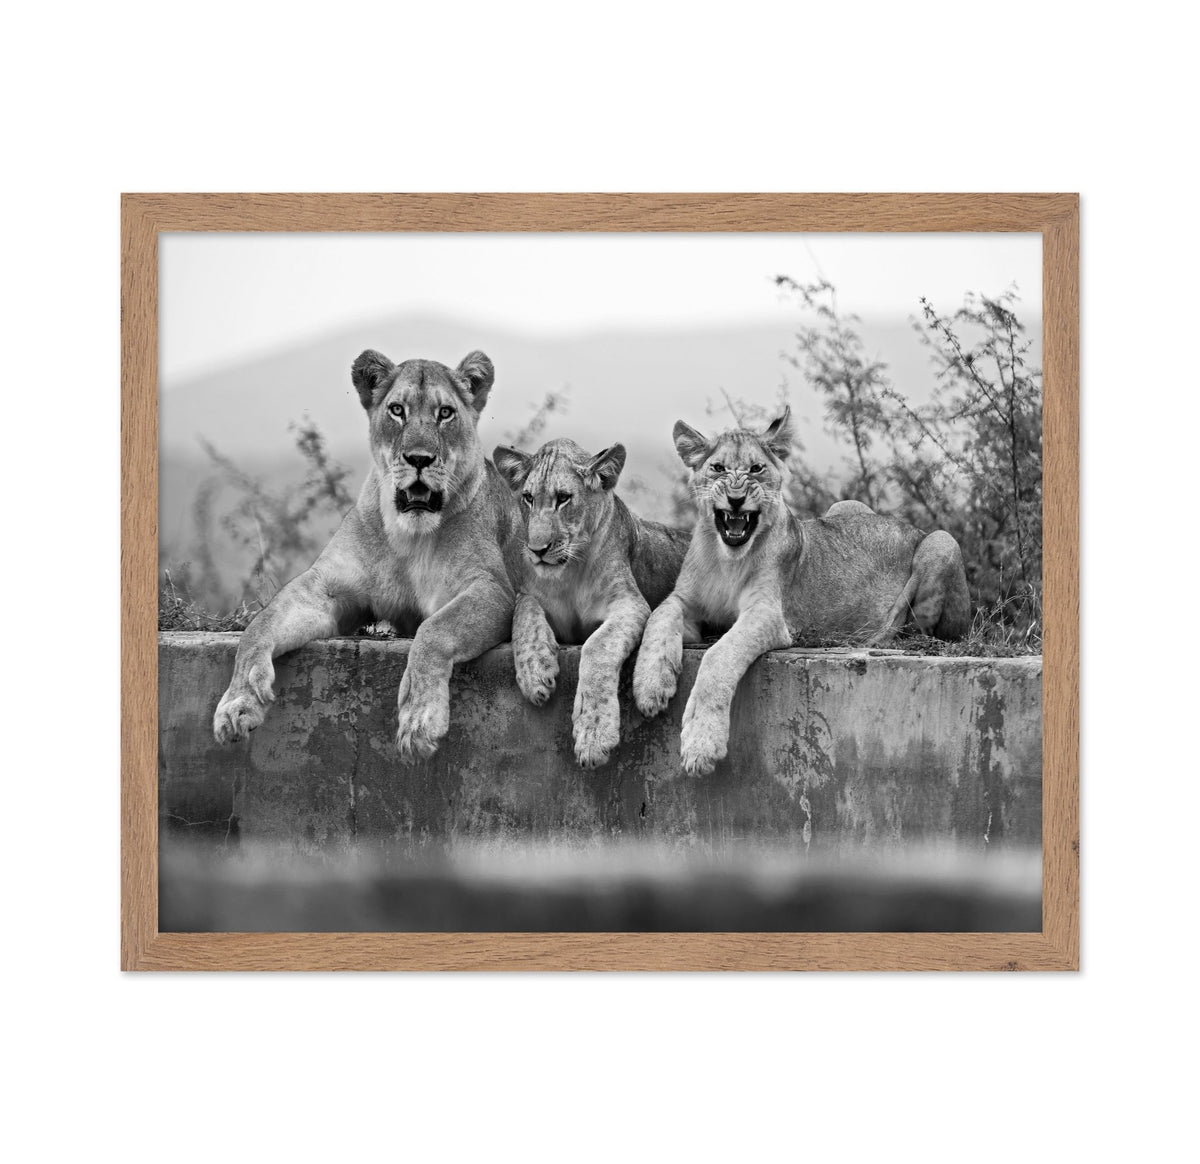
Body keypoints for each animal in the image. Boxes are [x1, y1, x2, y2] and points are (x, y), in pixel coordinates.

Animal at [213, 348, 523, 762]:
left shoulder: (491, 588)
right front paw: (239, 701)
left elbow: (433, 630)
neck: (408, 536)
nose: (419, 458)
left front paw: (419, 718)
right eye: (397, 410)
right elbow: (259, 625)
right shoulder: (325, 586)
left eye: (445, 413)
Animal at [492, 438, 691, 769]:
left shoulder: (630, 603)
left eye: (563, 498)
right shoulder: (531, 594)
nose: (537, 550)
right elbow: (524, 612)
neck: (570, 571)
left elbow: (597, 645)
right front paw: (535, 671)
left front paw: (594, 734)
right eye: (528, 498)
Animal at [633, 407, 970, 776]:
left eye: (756, 468)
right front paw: (650, 687)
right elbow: (659, 617)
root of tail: (912, 526)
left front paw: (701, 745)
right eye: (718, 468)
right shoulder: (684, 601)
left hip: (942, 541)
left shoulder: (769, 614)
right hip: (845, 506)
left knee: (922, 632)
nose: (736, 500)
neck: (727, 559)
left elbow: (719, 655)